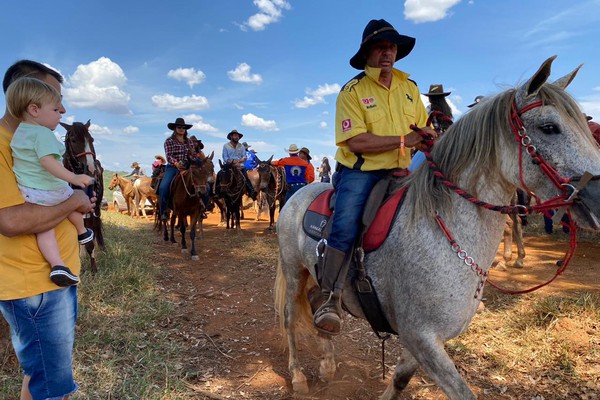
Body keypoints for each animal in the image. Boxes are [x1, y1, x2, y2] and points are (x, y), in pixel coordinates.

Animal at [61, 120, 104, 274]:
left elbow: (89, 241)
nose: (91, 169)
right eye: (73, 140)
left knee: (95, 226)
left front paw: (94, 268)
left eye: (91, 139)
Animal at [274, 56, 600, 400]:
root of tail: (299, 195)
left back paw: (327, 362)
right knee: (290, 318)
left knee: (315, 303)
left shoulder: (422, 340)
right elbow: (461, 392)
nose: (599, 196)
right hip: (294, 271)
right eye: (549, 127)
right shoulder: (420, 336)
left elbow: (400, 379)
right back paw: (298, 375)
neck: (443, 231)